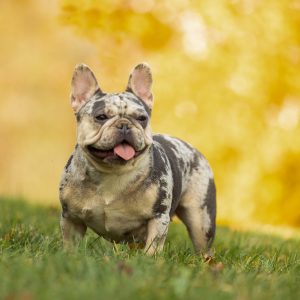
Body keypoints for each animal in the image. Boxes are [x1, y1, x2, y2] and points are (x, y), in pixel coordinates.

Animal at [59, 63, 216, 255]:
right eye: (101, 117)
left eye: (142, 118)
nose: (124, 125)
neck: (113, 172)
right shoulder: (71, 217)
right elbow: (70, 243)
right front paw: (69, 256)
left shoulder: (158, 218)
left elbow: (153, 246)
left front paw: (149, 259)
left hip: (201, 220)